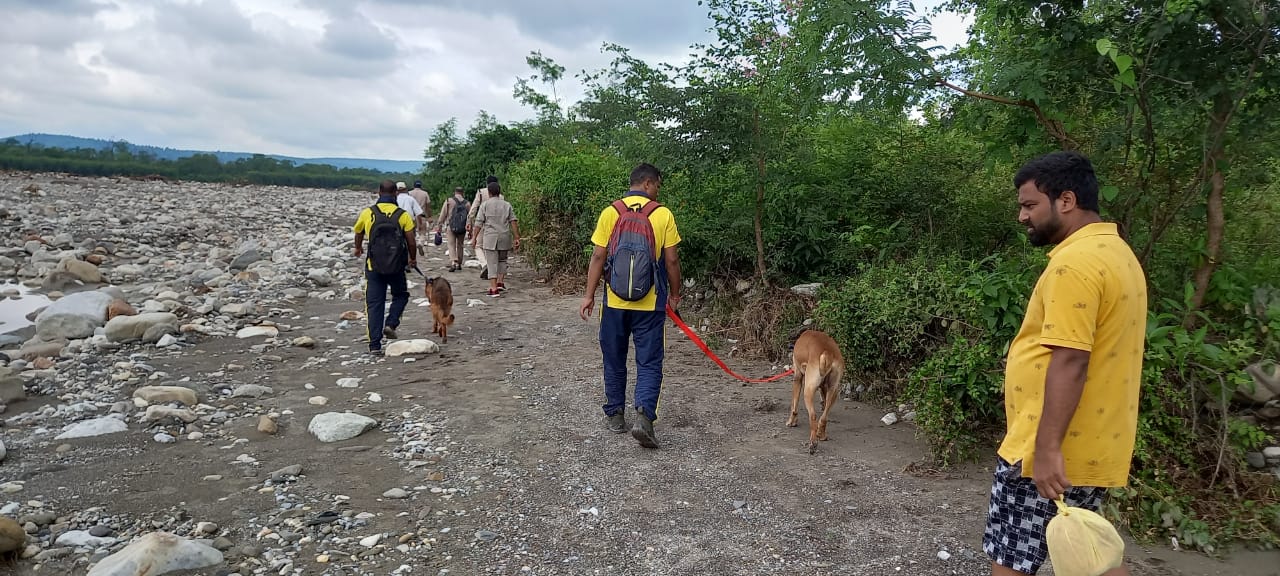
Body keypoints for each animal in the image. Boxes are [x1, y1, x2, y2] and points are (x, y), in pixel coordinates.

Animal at [783, 327, 844, 455]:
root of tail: (827, 352)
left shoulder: (797, 378)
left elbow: (794, 406)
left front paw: (791, 422)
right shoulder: (825, 388)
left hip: (808, 390)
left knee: (813, 416)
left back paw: (813, 443)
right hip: (834, 390)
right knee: (824, 417)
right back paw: (821, 435)